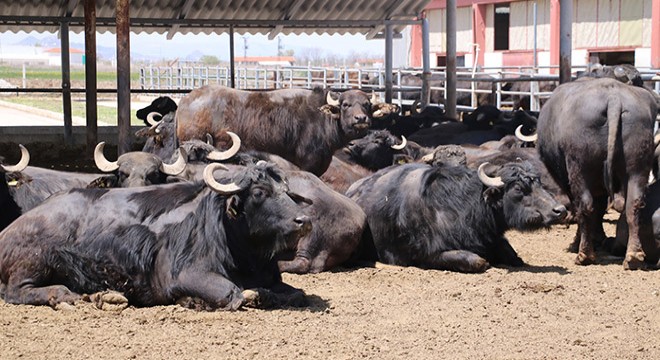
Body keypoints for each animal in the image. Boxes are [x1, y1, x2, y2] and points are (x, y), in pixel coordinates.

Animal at [0, 162, 312, 308]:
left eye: (286, 191)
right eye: (259, 192)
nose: (304, 220)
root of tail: (8, 230)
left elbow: (297, 294)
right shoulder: (186, 274)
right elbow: (233, 294)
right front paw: (192, 301)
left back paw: (103, 297)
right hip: (35, 261)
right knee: (16, 291)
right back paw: (63, 295)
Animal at [173, 86, 398, 176]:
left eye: (367, 104)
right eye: (345, 105)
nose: (361, 119)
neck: (322, 119)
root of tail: (185, 101)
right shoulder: (308, 165)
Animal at [346, 161, 568, 272]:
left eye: (539, 183)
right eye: (519, 189)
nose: (560, 210)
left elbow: (513, 256)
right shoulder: (427, 254)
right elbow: (476, 261)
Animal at [540, 77, 656, 268]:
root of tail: (614, 98)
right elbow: (600, 208)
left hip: (579, 168)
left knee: (585, 205)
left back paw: (584, 254)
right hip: (637, 167)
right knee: (634, 204)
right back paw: (633, 256)